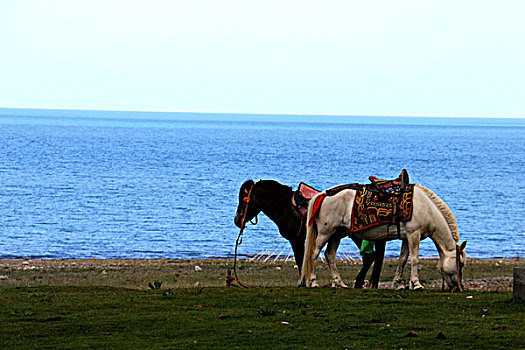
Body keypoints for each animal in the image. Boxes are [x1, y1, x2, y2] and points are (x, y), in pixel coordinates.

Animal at [234, 179, 384, 288]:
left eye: (244, 199)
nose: (237, 220)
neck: (285, 207)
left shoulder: (296, 240)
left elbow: (301, 260)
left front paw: (303, 282)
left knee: (369, 256)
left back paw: (358, 282)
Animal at [298, 185, 466, 292]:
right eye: (461, 264)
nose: (459, 287)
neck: (426, 208)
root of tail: (323, 196)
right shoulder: (414, 234)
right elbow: (414, 258)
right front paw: (417, 284)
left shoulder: (406, 237)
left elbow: (403, 259)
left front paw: (398, 284)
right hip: (326, 232)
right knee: (314, 253)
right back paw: (313, 282)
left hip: (337, 234)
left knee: (330, 255)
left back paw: (340, 283)